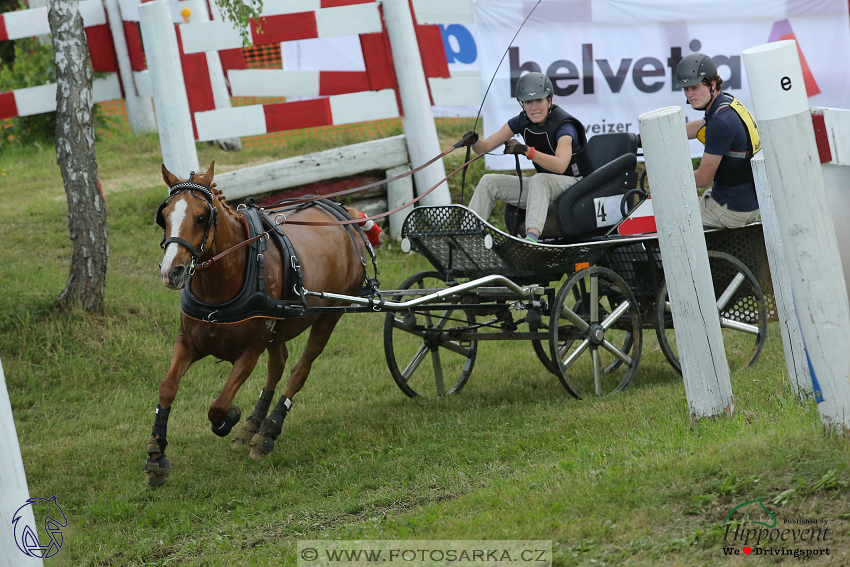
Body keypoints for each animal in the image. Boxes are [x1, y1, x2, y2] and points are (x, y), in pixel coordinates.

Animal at [147, 162, 366, 486]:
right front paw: (155, 455)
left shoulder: (249, 352)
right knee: (278, 364)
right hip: (278, 328)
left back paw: (268, 431)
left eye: (201, 217)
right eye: (164, 217)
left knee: (299, 371)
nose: (171, 272)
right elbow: (167, 388)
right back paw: (253, 425)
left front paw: (230, 418)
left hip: (330, 314)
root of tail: (343, 214)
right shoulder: (187, 342)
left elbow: (218, 406)